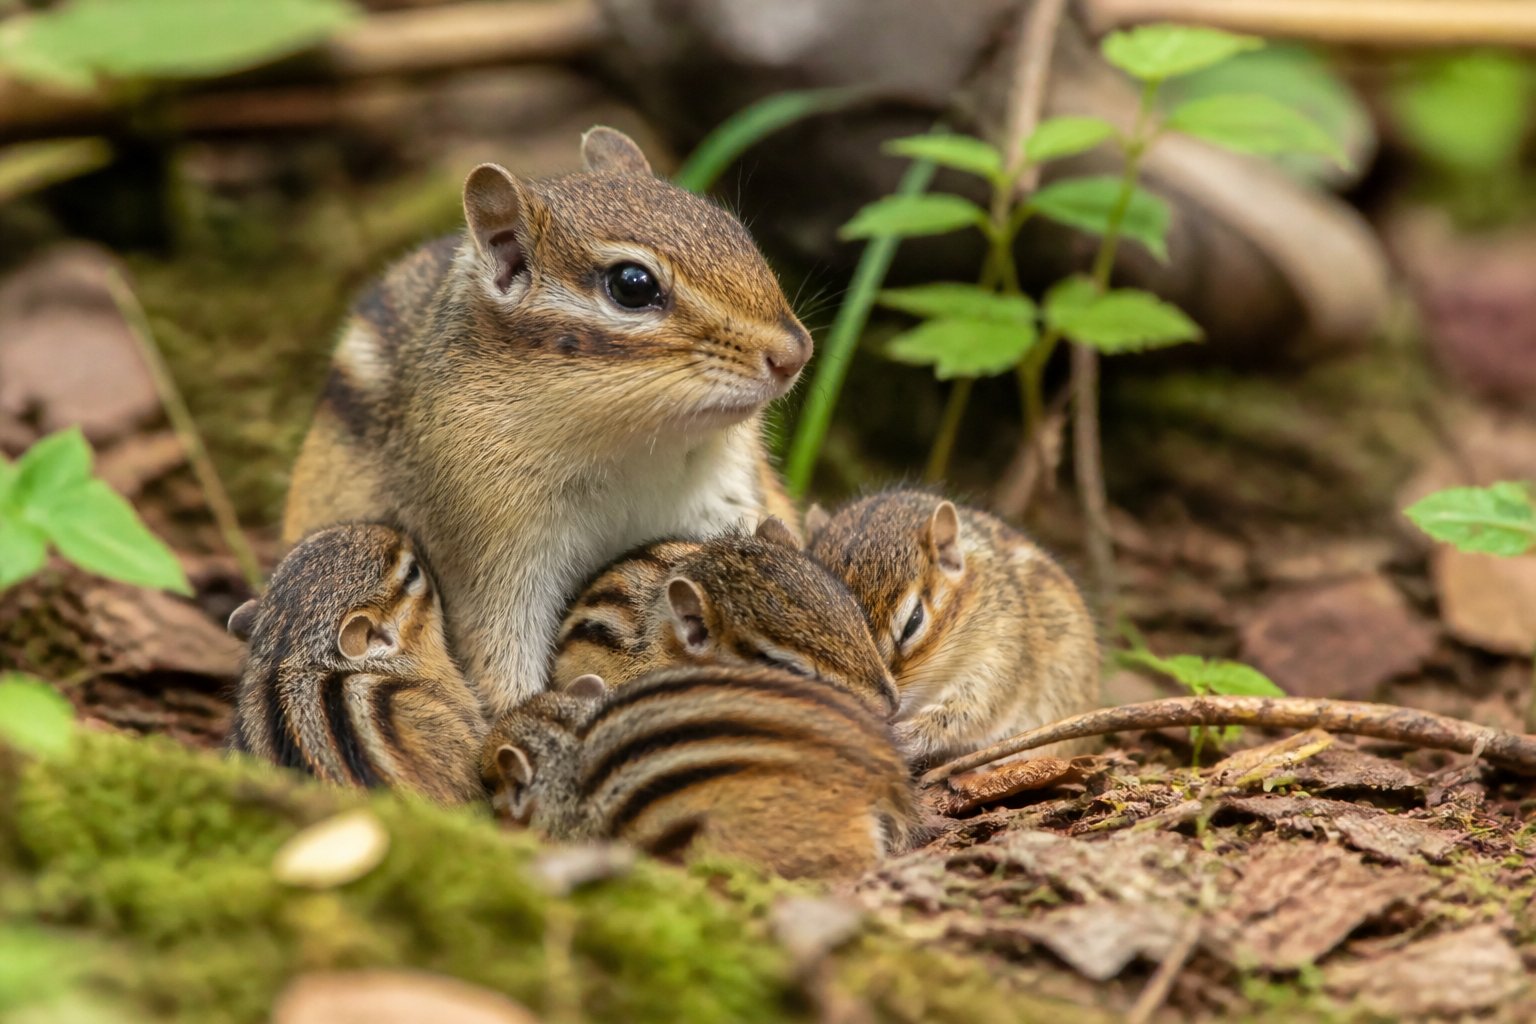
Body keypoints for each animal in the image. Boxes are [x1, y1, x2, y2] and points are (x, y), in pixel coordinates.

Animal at [281, 127, 810, 719]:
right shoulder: (495, 550)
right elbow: (500, 663)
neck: (633, 450)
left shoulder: (727, 498)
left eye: (734, 230)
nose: (796, 353)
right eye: (632, 284)